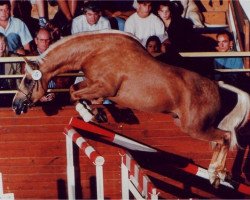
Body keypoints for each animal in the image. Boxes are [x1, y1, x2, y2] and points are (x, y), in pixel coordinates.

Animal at [12, 30, 250, 188]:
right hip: (185, 123)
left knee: (225, 137)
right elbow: (75, 90)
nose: (16, 105)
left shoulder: (105, 86)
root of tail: (217, 87)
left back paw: (216, 174)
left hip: (194, 128)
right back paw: (216, 173)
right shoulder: (93, 85)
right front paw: (94, 112)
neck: (95, 51)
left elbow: (74, 94)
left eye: (27, 80)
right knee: (221, 140)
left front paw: (91, 113)